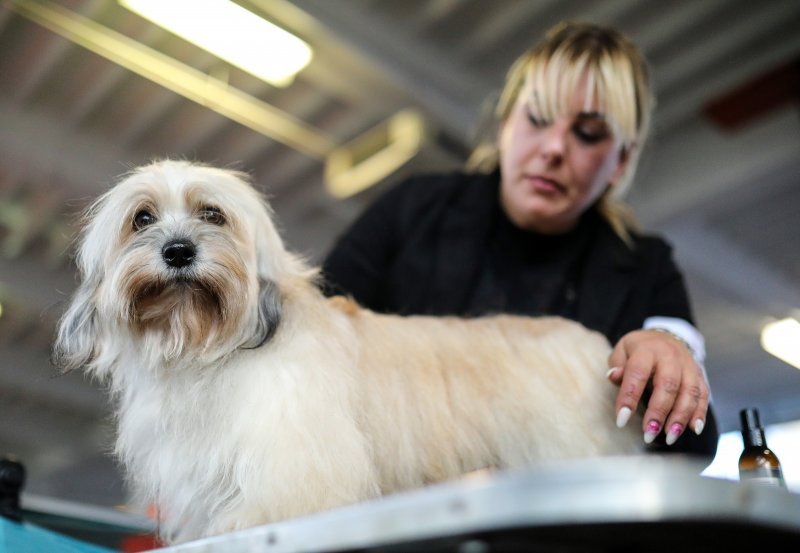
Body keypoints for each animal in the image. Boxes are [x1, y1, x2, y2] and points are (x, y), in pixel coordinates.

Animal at [53, 157, 640, 540]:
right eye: (143, 218)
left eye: (213, 215)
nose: (178, 251)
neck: (206, 346)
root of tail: (589, 343)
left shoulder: (293, 450)